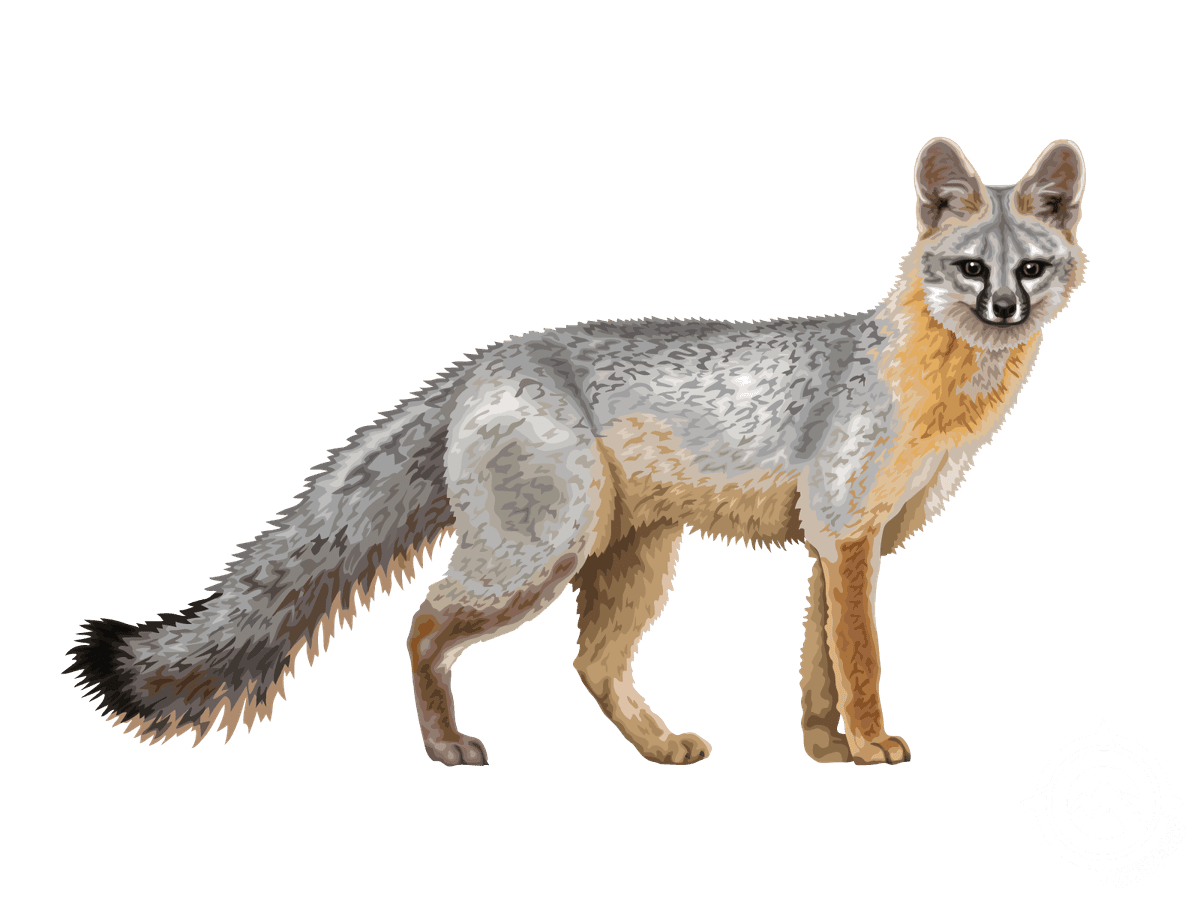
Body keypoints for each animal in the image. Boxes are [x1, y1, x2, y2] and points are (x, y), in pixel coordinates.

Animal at [66, 137, 1086, 767]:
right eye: (971, 268)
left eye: (1031, 268)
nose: (1006, 308)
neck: (929, 384)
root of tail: (494, 355)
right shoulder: (845, 538)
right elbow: (861, 665)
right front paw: (871, 746)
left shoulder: (837, 546)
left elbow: (818, 669)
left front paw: (827, 751)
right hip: (538, 556)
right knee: (425, 624)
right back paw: (445, 748)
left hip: (631, 562)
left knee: (590, 666)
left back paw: (659, 747)